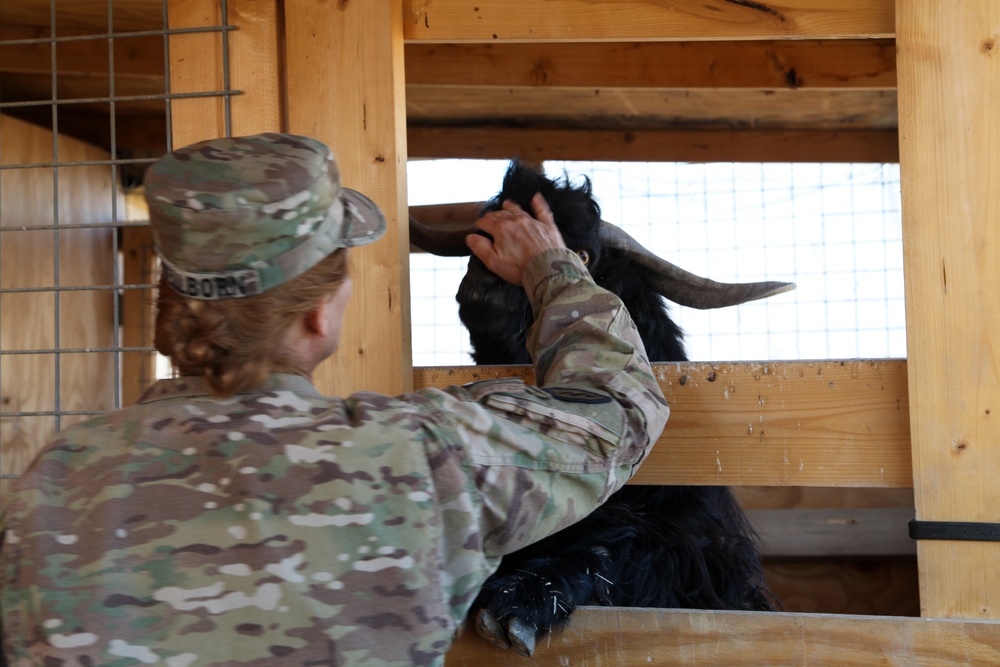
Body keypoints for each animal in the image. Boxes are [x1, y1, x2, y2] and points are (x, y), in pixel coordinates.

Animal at [406, 162, 788, 656]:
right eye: (478, 239)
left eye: (585, 255)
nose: (485, 295)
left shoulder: (687, 546)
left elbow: (614, 549)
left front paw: (522, 600)